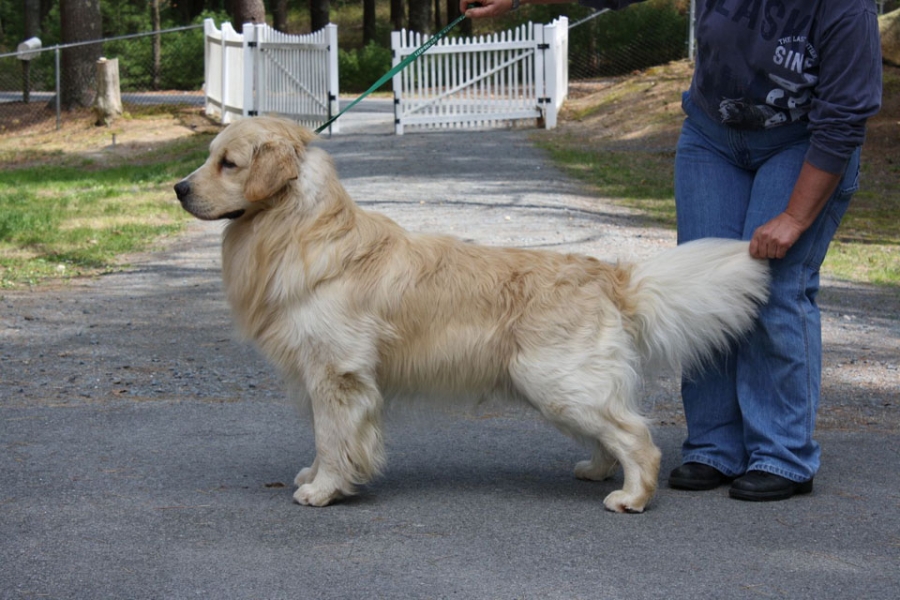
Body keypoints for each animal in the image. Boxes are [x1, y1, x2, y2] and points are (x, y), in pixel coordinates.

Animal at [174, 117, 769, 513]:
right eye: (210, 157)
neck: (297, 229)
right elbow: (327, 438)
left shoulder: (337, 374)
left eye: (228, 163)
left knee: (639, 437)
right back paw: (598, 470)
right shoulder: (326, 375)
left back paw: (631, 495)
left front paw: (324, 489)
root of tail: (609, 274)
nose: (177, 188)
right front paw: (319, 477)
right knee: (615, 429)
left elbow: (333, 436)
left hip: (557, 382)